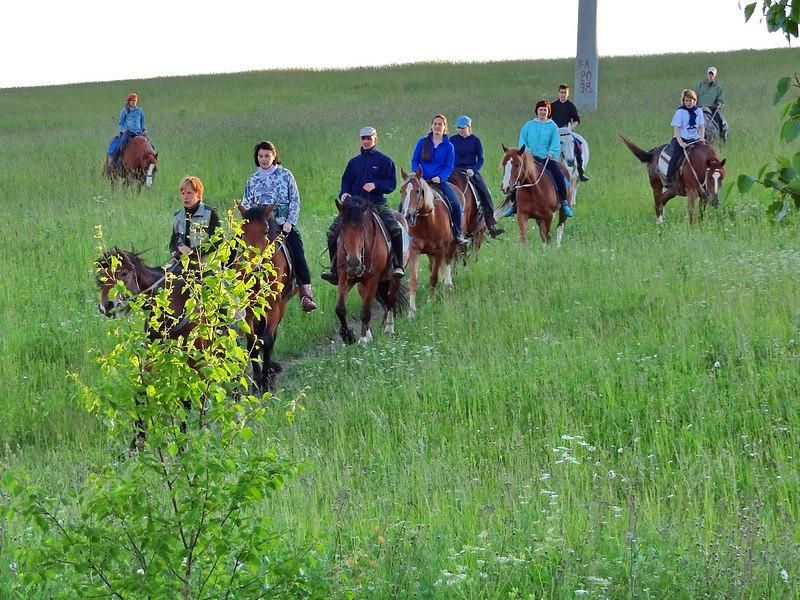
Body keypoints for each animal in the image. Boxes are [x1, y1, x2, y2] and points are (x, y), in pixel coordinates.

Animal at [236, 204, 296, 392]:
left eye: (265, 231)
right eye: (242, 232)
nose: (252, 265)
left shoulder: (275, 305)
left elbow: (267, 340)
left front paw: (266, 381)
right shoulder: (248, 309)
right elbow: (252, 343)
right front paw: (256, 382)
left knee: (272, 335)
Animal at [332, 196, 406, 344]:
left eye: (362, 230)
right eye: (341, 229)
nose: (353, 263)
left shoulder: (373, 279)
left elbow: (366, 312)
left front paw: (362, 340)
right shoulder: (344, 278)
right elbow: (340, 309)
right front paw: (348, 335)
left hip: (394, 279)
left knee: (391, 300)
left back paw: (389, 329)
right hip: (362, 283)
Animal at [404, 168, 460, 318]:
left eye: (417, 190)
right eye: (402, 190)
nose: (408, 216)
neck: (428, 222)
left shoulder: (440, 250)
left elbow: (433, 277)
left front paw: (430, 301)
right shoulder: (414, 250)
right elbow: (413, 281)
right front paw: (411, 312)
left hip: (451, 245)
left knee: (447, 262)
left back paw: (448, 285)